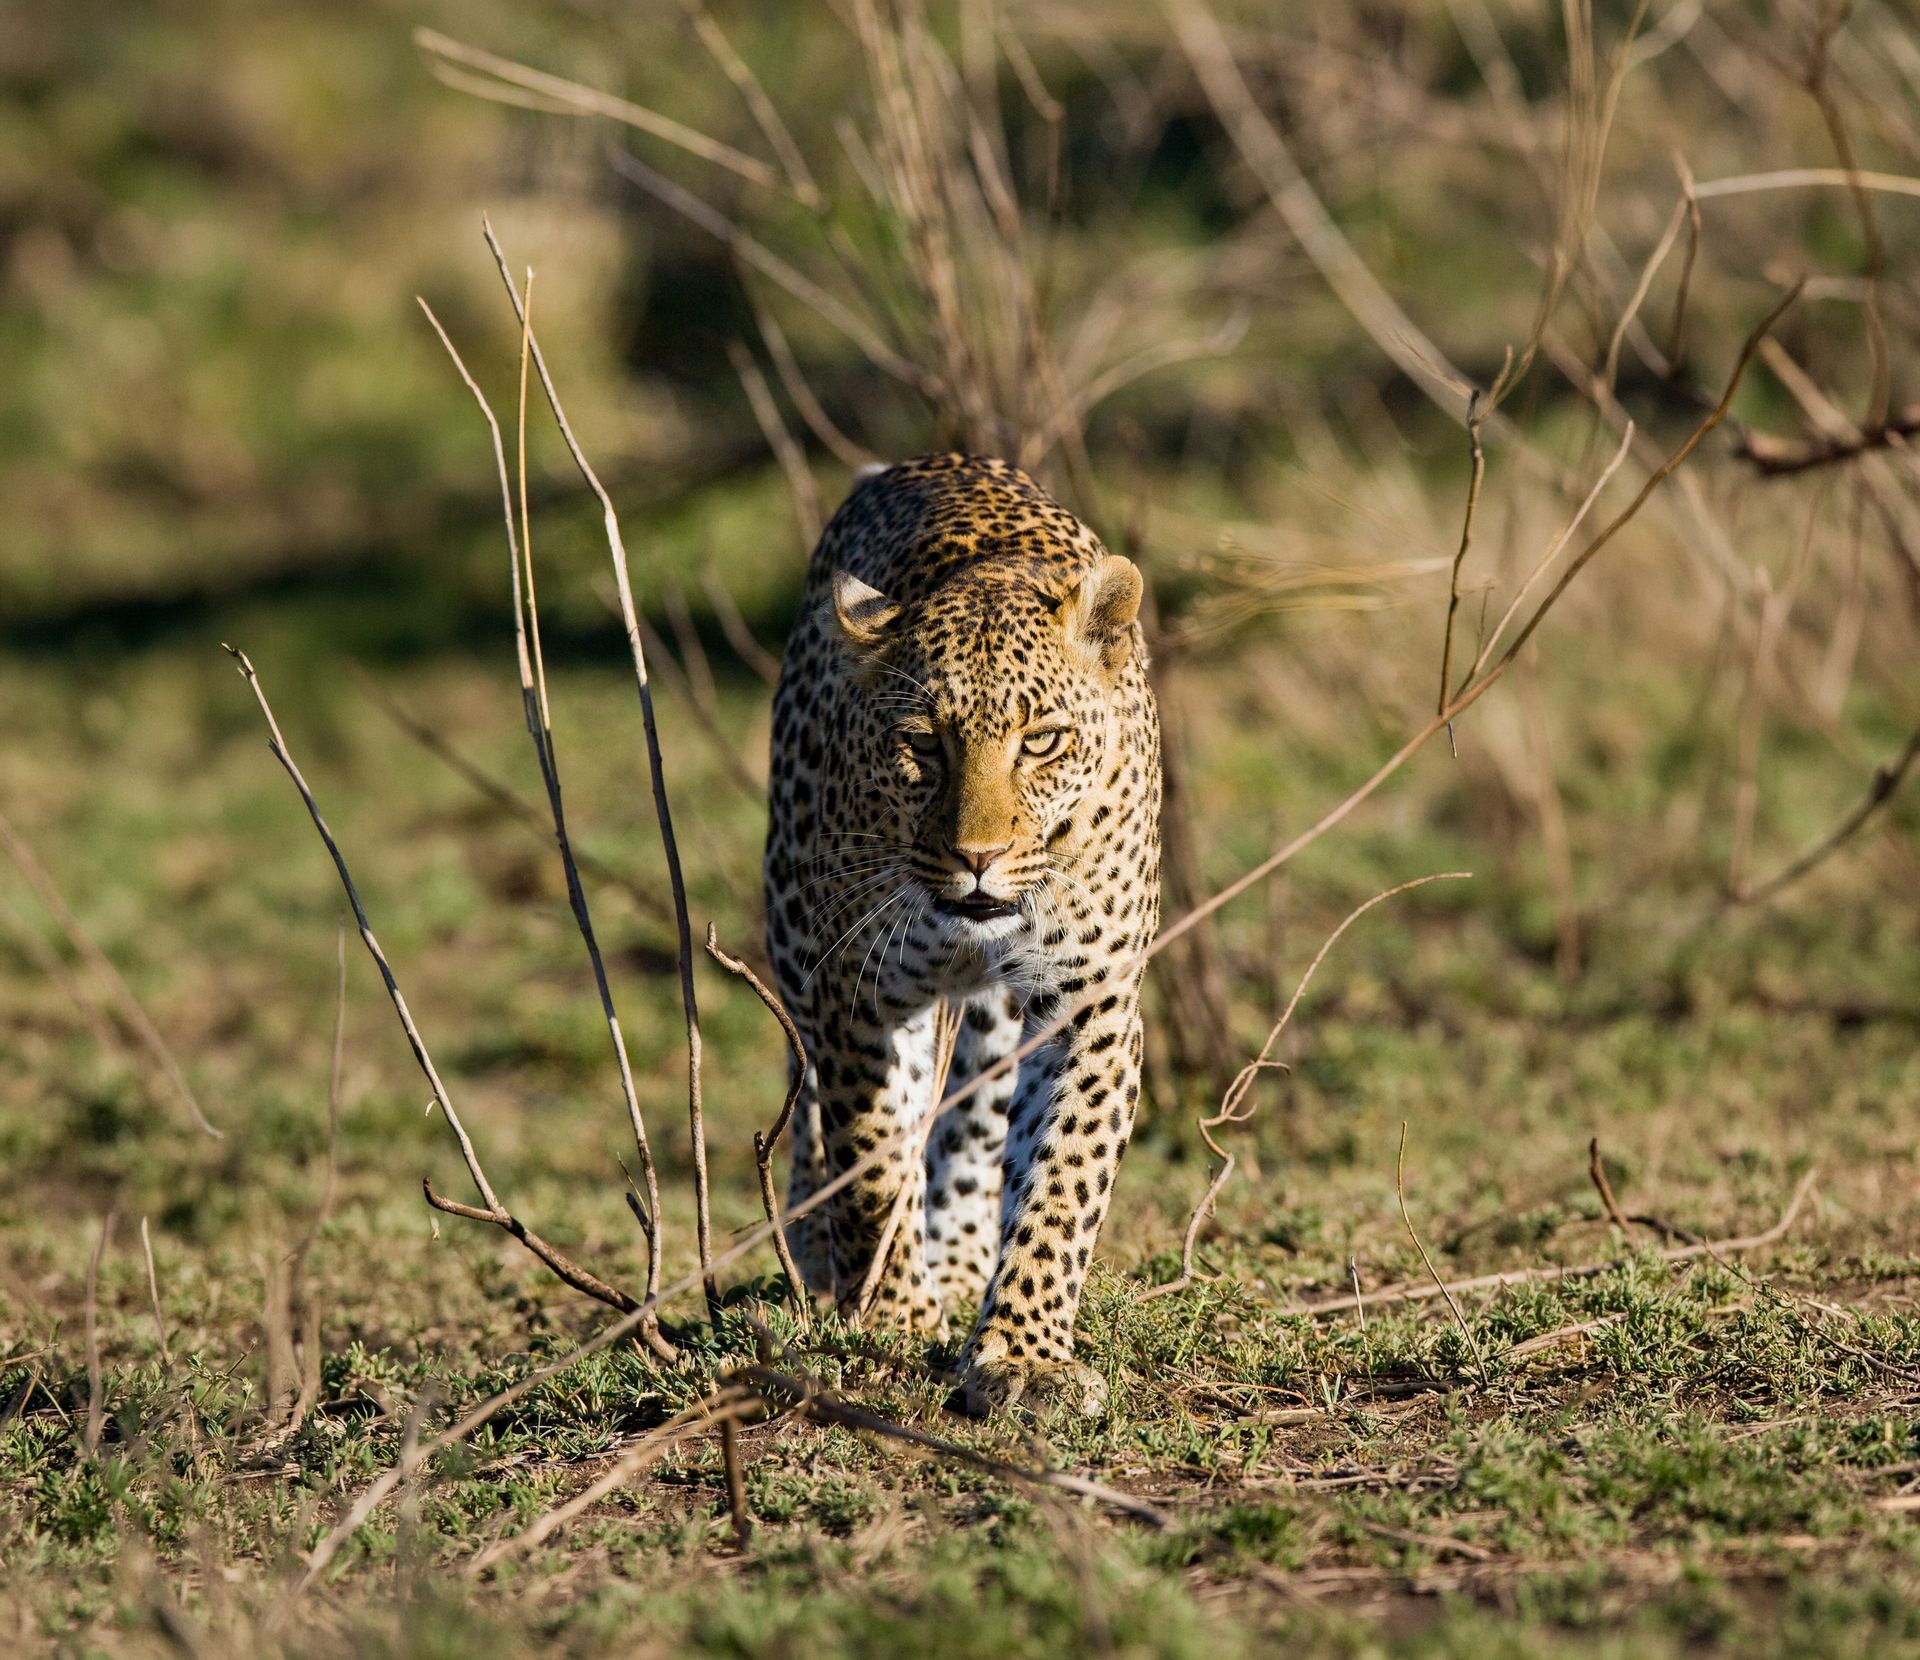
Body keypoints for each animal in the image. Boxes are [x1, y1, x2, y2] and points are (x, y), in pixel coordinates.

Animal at [762, 451, 1161, 1417]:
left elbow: (1059, 1181)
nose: (977, 857)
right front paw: (894, 1314)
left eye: (1042, 741)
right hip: (794, 928)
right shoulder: (856, 990)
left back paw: (960, 1260)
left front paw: (1023, 1355)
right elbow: (871, 1157)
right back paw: (830, 1251)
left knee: (976, 1125)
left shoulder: (1089, 1005)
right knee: (816, 1104)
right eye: (922, 744)